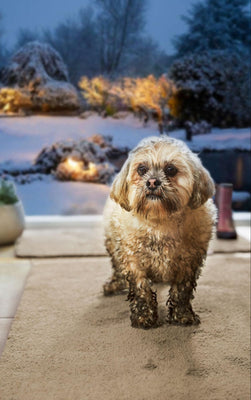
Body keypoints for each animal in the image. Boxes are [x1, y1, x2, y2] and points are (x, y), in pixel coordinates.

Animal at [102, 136, 216, 330]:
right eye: (141, 169)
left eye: (171, 169)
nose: (152, 182)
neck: (160, 221)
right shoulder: (133, 261)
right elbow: (140, 289)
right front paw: (143, 316)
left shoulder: (188, 262)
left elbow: (182, 290)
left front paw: (182, 315)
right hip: (112, 243)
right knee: (116, 266)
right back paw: (114, 284)